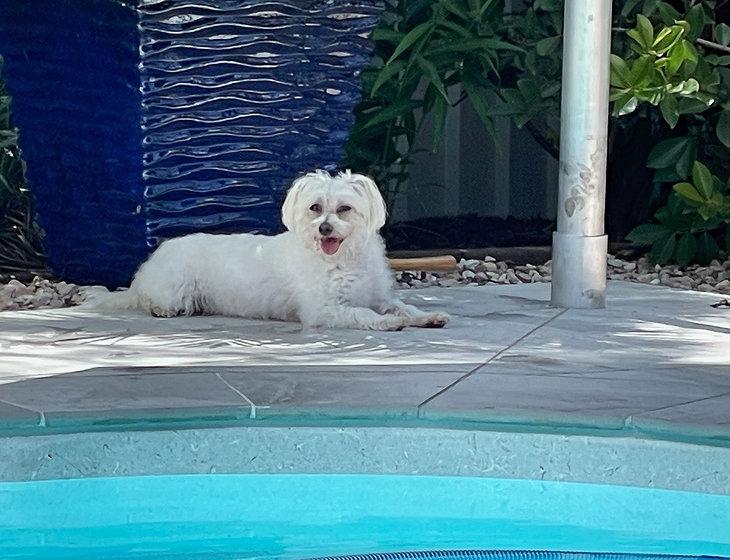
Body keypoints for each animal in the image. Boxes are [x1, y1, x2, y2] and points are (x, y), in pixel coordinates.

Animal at [95, 168, 450, 330]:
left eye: (345, 209)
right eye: (314, 207)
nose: (324, 228)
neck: (343, 260)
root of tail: (148, 267)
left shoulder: (379, 296)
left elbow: (404, 307)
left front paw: (427, 316)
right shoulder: (323, 310)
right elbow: (361, 313)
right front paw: (387, 323)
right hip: (175, 290)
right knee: (154, 301)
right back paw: (160, 309)